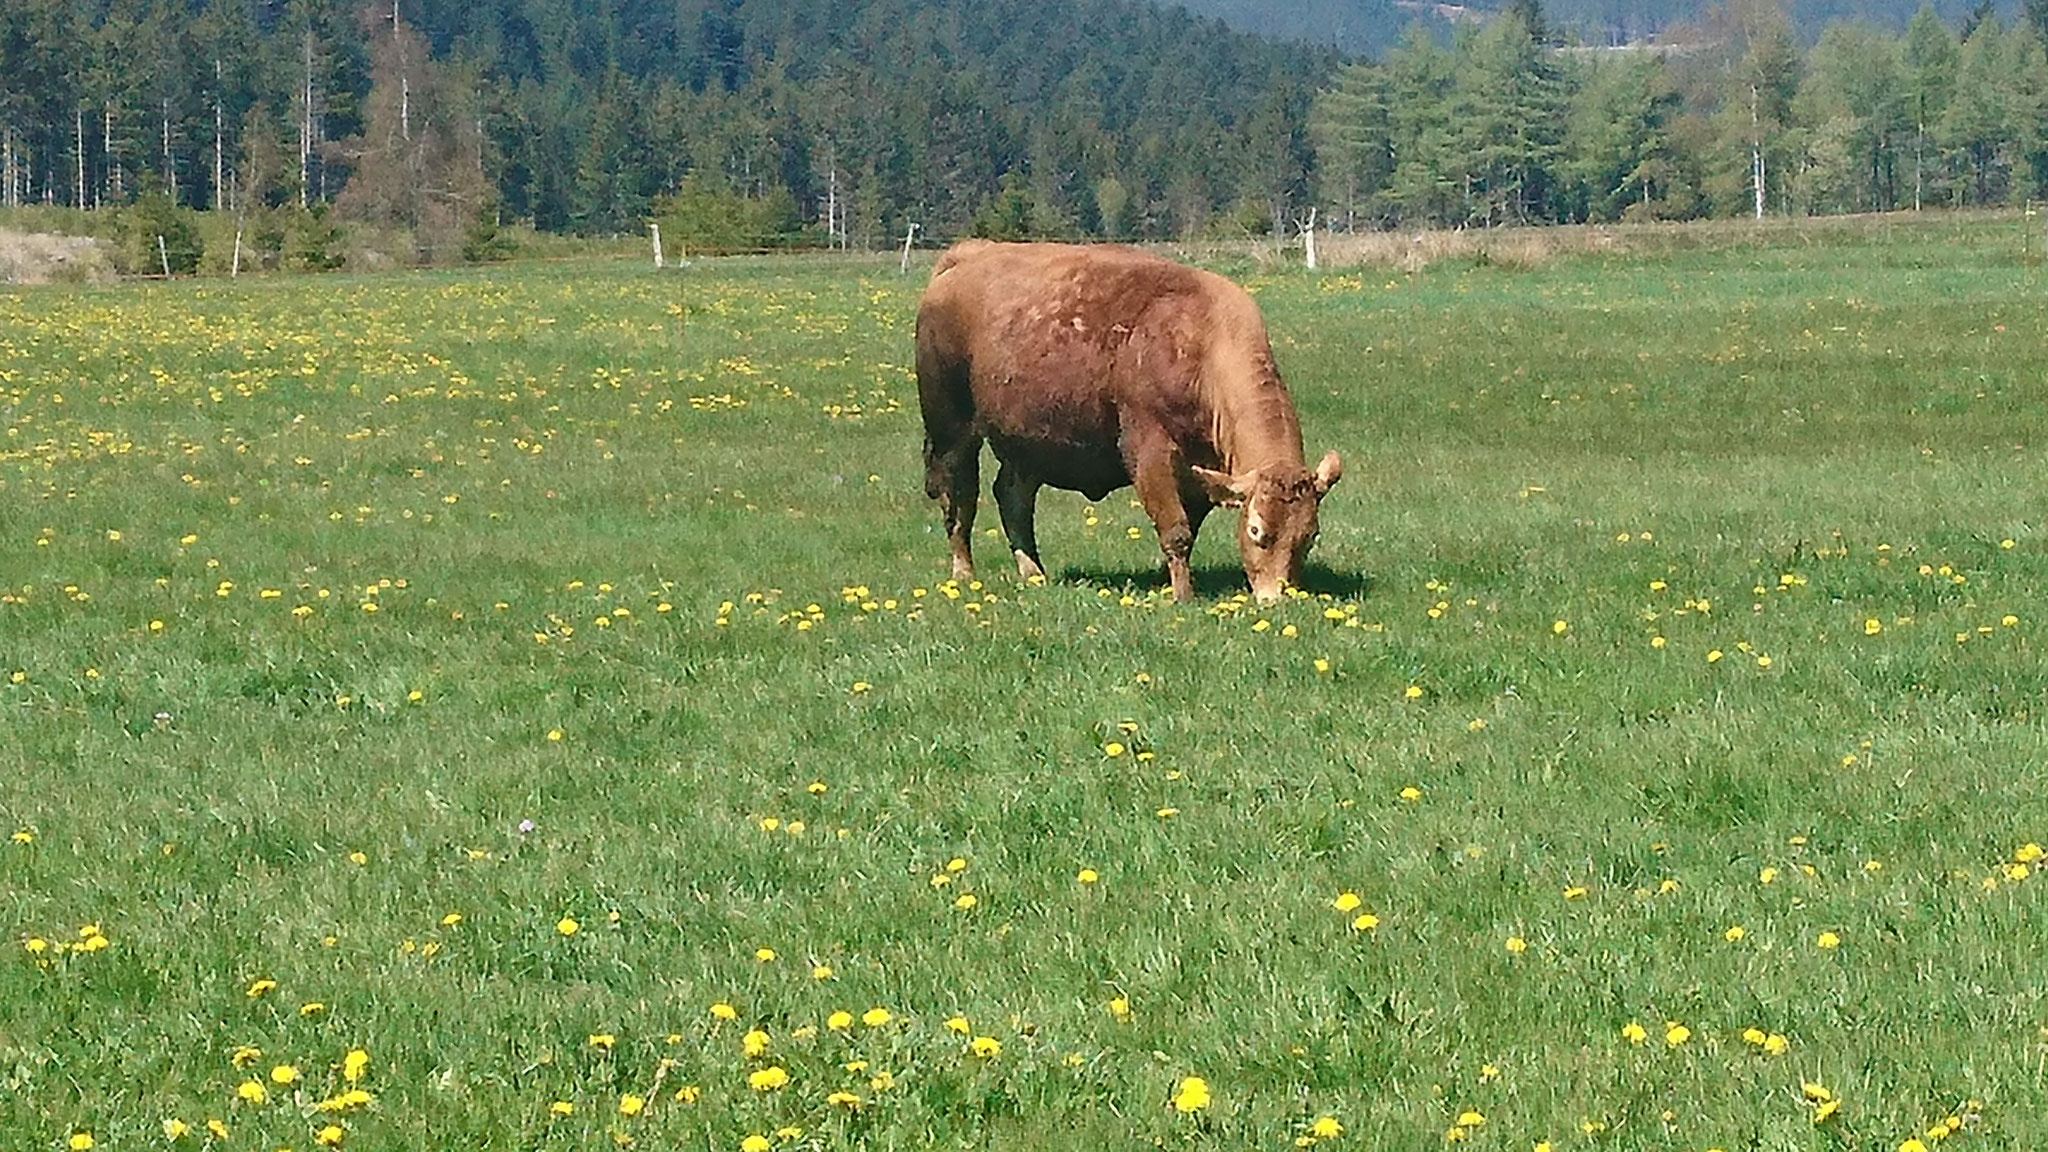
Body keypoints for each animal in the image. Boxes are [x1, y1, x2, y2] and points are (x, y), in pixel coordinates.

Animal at [917, 238, 1343, 606]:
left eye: (1309, 535)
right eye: (1256, 530)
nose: (1277, 598)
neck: (1203, 341)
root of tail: (969, 254)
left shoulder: (1200, 472)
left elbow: (1188, 527)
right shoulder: (1150, 452)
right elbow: (1176, 530)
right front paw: (1182, 597)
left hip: (1027, 444)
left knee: (1012, 497)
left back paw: (1033, 572)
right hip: (952, 430)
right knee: (960, 498)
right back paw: (964, 573)